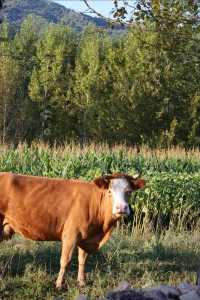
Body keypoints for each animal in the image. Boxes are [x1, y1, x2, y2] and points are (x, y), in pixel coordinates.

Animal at [0, 172, 145, 290]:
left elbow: (82, 260)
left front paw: (81, 282)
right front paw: (59, 284)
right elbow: (65, 260)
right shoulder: (70, 235)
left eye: (129, 191)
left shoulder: (85, 238)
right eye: (110, 191)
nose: (121, 207)